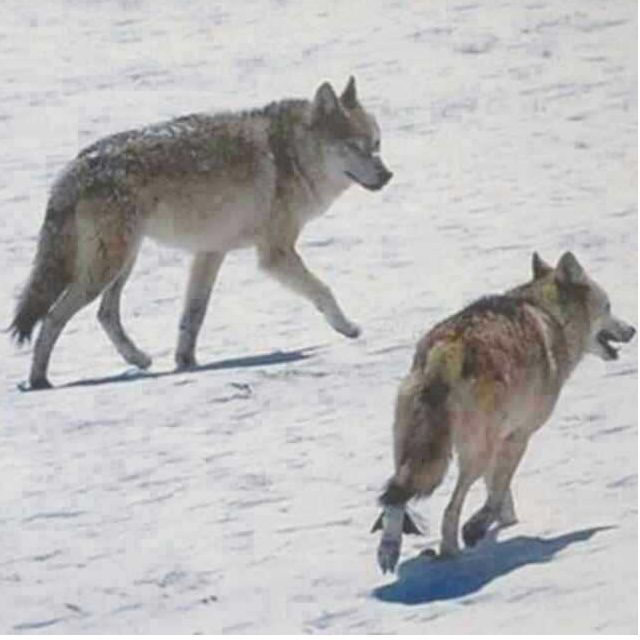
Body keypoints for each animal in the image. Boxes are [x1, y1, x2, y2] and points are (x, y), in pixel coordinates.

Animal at [10, 77, 392, 389]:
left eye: (376, 144)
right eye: (356, 147)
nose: (387, 175)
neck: (292, 155)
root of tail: (73, 167)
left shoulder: (210, 252)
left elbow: (193, 316)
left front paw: (186, 363)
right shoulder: (275, 254)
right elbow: (323, 290)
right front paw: (347, 327)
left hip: (122, 263)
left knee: (104, 314)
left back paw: (139, 359)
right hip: (109, 267)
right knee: (54, 317)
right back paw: (39, 380)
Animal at [372, 251, 635, 573]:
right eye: (608, 306)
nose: (632, 330)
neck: (552, 317)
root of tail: (446, 350)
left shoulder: (503, 436)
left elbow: (498, 489)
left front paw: (506, 522)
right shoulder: (518, 436)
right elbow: (497, 491)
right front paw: (482, 526)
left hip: (412, 450)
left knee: (395, 496)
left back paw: (389, 550)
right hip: (473, 454)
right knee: (450, 508)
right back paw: (452, 549)